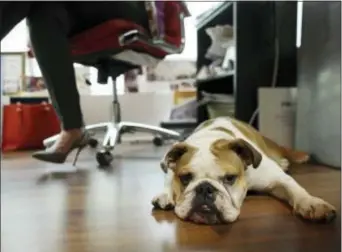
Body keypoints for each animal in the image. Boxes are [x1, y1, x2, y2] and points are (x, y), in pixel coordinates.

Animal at [153, 116, 336, 224]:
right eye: (185, 178)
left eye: (230, 178)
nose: (205, 188)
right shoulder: (170, 170)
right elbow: (168, 179)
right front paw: (165, 194)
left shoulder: (277, 178)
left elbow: (294, 189)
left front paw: (312, 203)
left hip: (273, 147)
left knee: (284, 150)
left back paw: (295, 157)